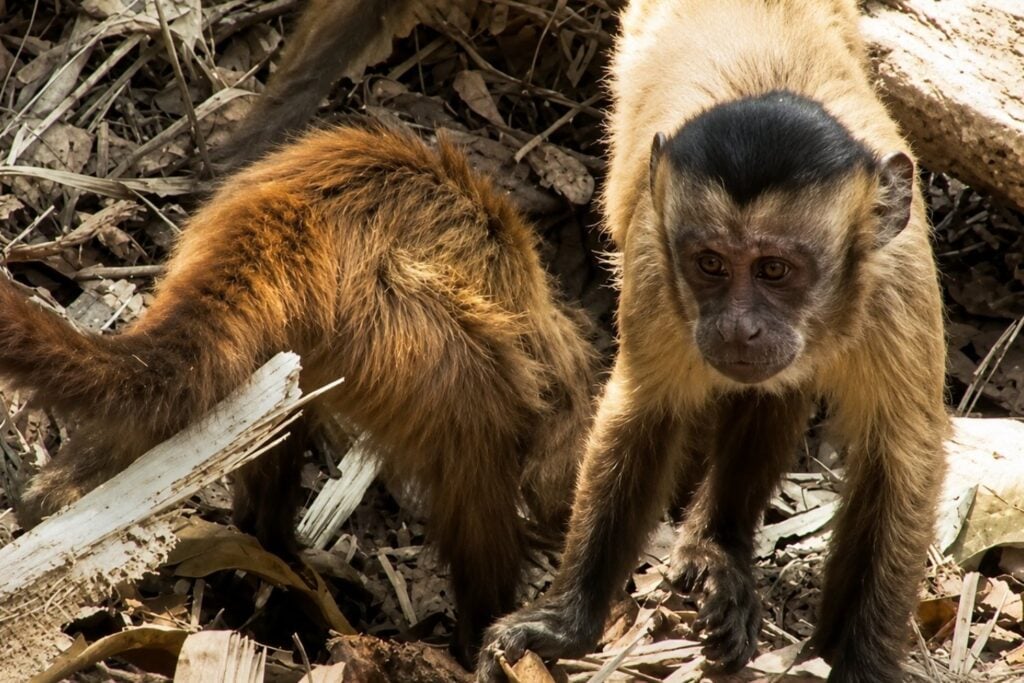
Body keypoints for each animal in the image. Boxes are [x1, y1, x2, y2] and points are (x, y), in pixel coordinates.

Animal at [478, 1, 948, 681]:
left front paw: (862, 661)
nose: (735, 326)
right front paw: (567, 621)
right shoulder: (657, 259)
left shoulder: (897, 284)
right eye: (710, 265)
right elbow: (644, 409)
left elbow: (902, 457)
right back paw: (717, 554)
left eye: (774, 270)